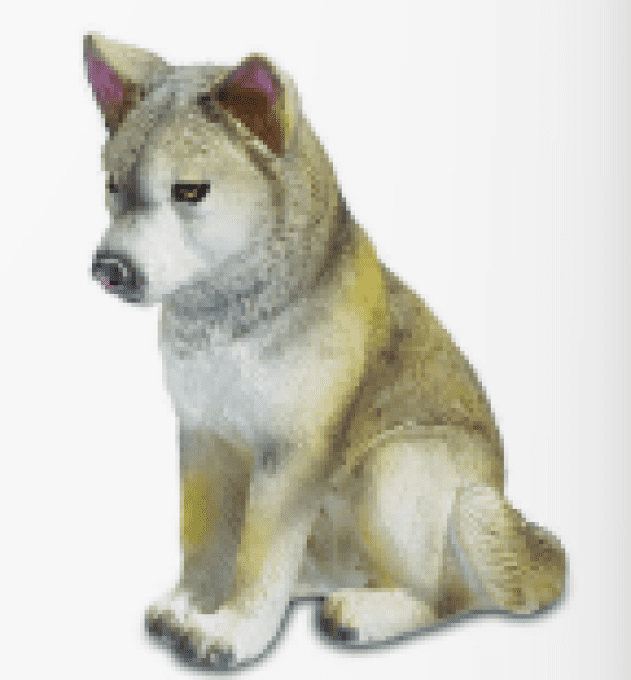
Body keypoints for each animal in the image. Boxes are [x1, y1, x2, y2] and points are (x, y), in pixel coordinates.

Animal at [84, 33, 566, 668]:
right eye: (113, 187)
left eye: (188, 191)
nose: (108, 268)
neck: (229, 323)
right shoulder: (203, 437)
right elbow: (206, 539)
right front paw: (191, 605)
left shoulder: (292, 451)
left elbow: (259, 555)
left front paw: (232, 632)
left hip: (397, 469)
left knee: (445, 596)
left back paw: (367, 614)